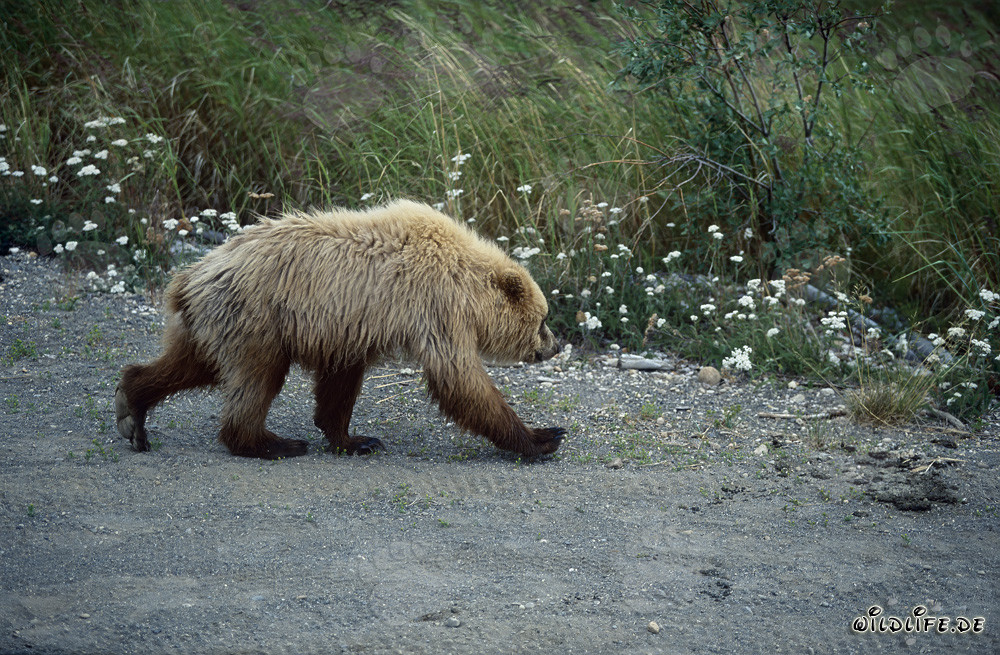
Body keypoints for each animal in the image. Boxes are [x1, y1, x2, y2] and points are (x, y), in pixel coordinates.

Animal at [114, 200, 565, 460]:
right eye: (543, 320)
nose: (556, 345)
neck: (468, 285)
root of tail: (190, 277)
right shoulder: (435, 307)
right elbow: (460, 381)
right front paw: (543, 436)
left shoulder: (349, 324)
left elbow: (341, 381)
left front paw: (355, 439)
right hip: (257, 319)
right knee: (256, 379)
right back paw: (271, 443)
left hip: (216, 322)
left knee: (189, 365)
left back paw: (131, 409)